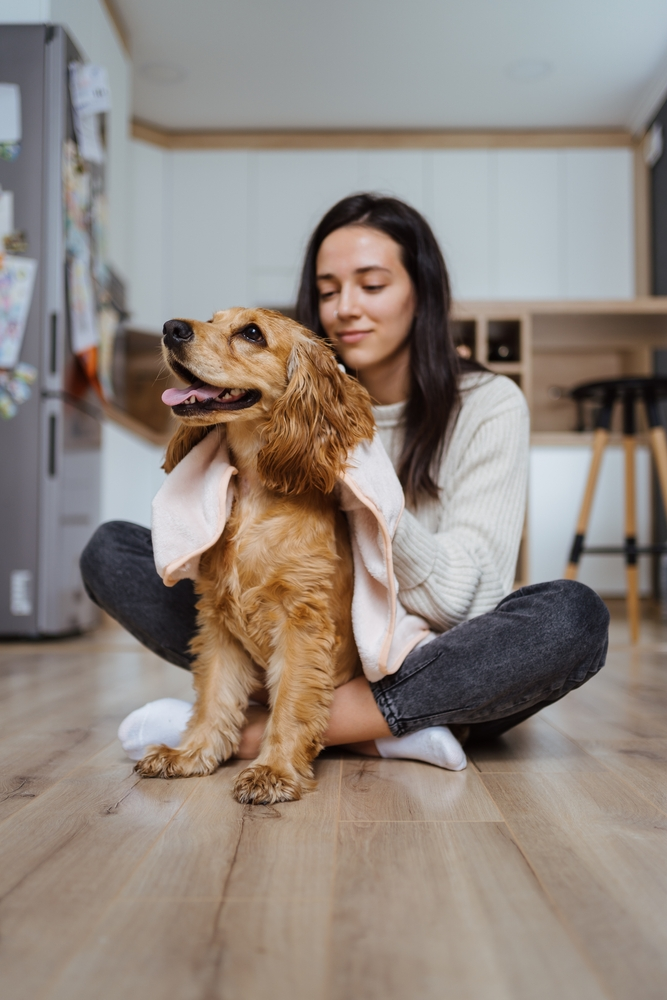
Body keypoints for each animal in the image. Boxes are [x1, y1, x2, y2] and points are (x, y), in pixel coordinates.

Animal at [136, 306, 376, 804]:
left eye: (252, 334)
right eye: (212, 319)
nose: (171, 328)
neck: (253, 495)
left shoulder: (300, 620)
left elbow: (292, 701)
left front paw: (275, 771)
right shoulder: (219, 620)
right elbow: (215, 694)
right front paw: (191, 754)